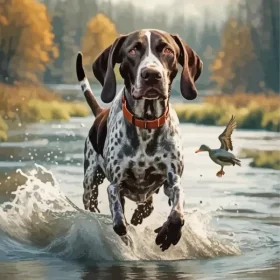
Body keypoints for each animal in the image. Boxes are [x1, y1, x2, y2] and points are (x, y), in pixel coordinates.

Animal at [76, 29, 203, 252]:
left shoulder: (172, 180)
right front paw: (128, 241)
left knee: (147, 205)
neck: (147, 123)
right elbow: (119, 224)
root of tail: (100, 112)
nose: (151, 74)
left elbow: (177, 211)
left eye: (167, 50)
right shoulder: (114, 186)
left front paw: (169, 233)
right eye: (133, 50)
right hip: (90, 184)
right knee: (94, 203)